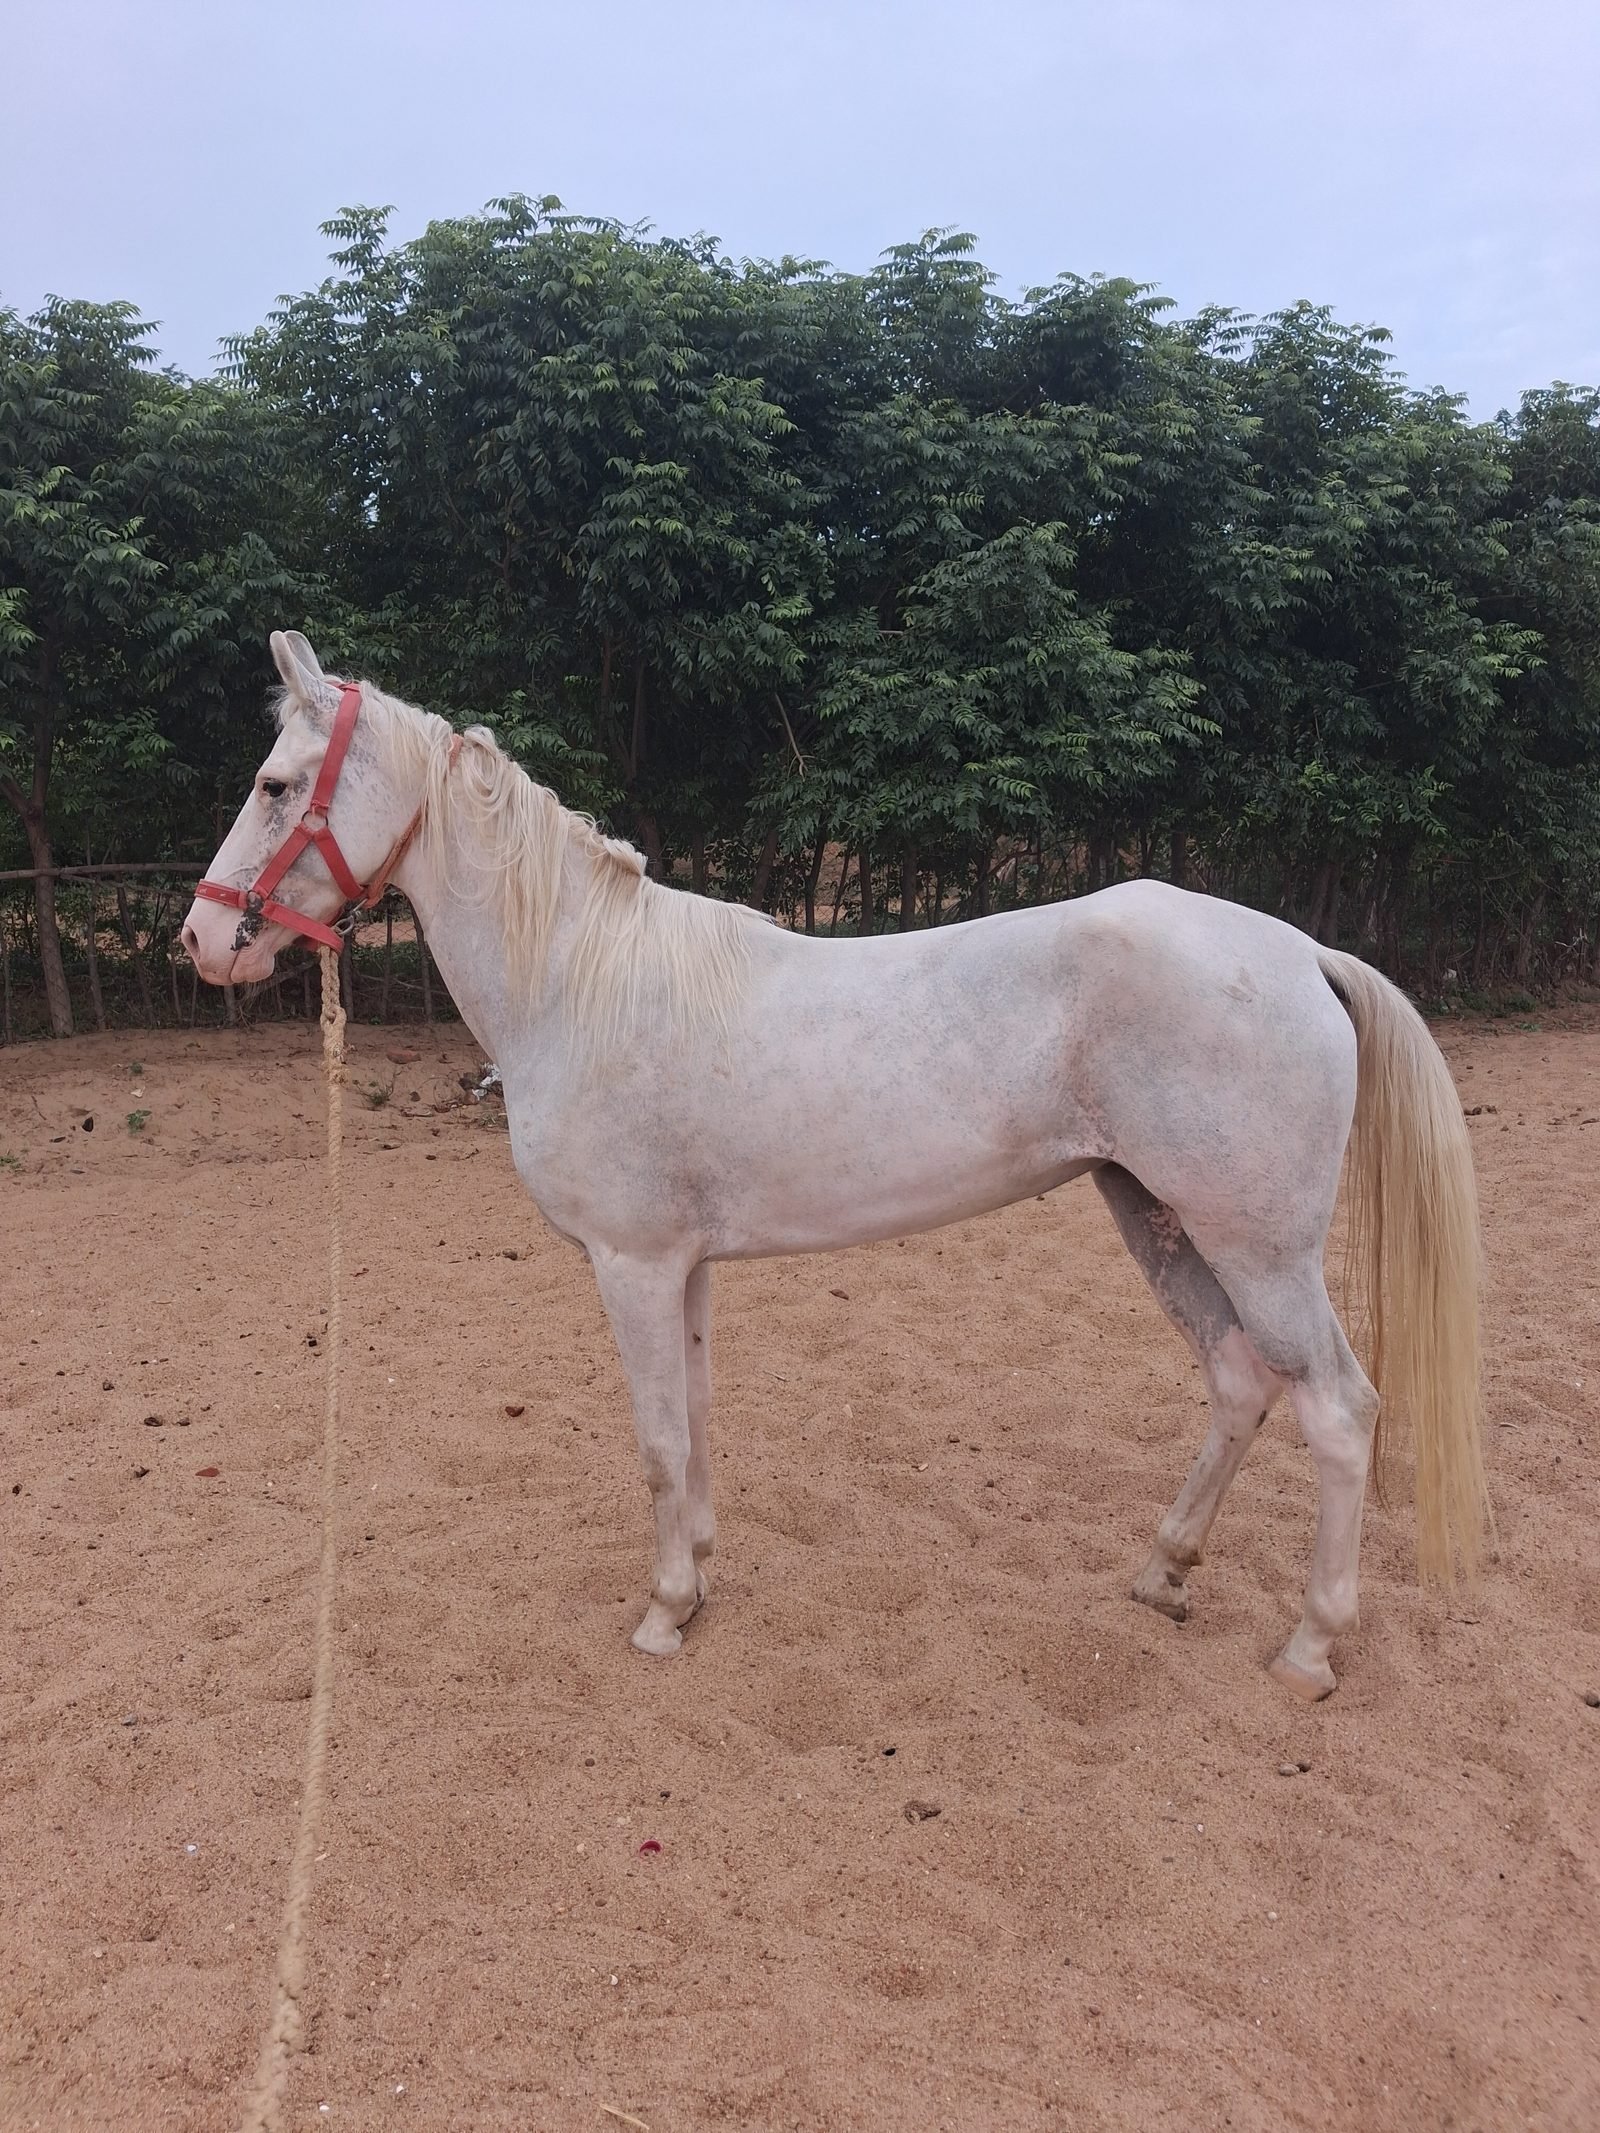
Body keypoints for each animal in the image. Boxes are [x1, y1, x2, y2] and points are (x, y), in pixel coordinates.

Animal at [182, 630, 1489, 1702]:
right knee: (1236, 1380)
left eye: (274, 785)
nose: (199, 939)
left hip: (1256, 1246)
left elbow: (657, 1441)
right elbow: (696, 1418)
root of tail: (1300, 952)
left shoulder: (631, 1263)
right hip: (1158, 1218)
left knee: (1339, 1412)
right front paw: (701, 1576)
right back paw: (1162, 1573)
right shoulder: (685, 1266)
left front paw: (662, 1613)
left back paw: (1309, 1648)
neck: (581, 983)